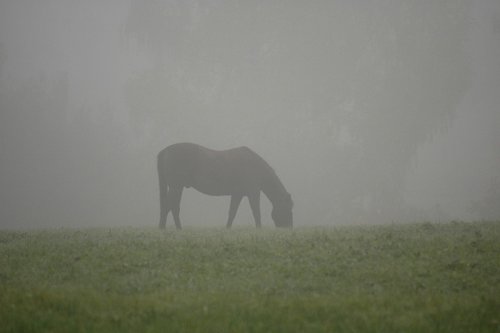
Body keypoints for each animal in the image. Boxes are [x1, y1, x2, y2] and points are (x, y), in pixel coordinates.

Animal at [157, 141, 292, 230]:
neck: (255, 167)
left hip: (177, 188)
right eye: (289, 207)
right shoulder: (253, 193)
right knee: (169, 207)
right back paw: (166, 229)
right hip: (175, 187)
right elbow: (256, 211)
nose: (289, 227)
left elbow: (232, 212)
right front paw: (259, 229)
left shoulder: (238, 194)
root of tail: (164, 151)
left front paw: (227, 229)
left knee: (172, 207)